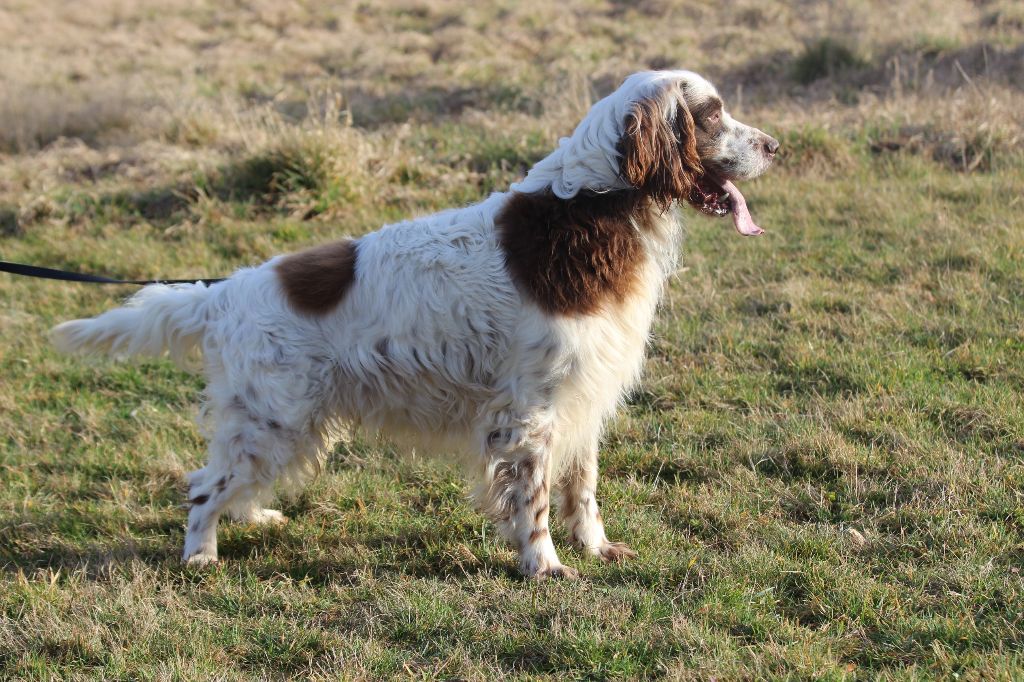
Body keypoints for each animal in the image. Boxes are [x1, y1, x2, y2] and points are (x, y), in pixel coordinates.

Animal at [51, 71, 774, 577]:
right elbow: (536, 500)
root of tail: (224, 291)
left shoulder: (584, 395)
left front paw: (595, 549)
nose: (774, 145)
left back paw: (256, 516)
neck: (593, 209)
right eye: (712, 113)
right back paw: (201, 555)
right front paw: (544, 566)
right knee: (205, 489)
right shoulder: (533, 409)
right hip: (274, 418)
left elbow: (583, 490)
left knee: (234, 483)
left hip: (284, 424)